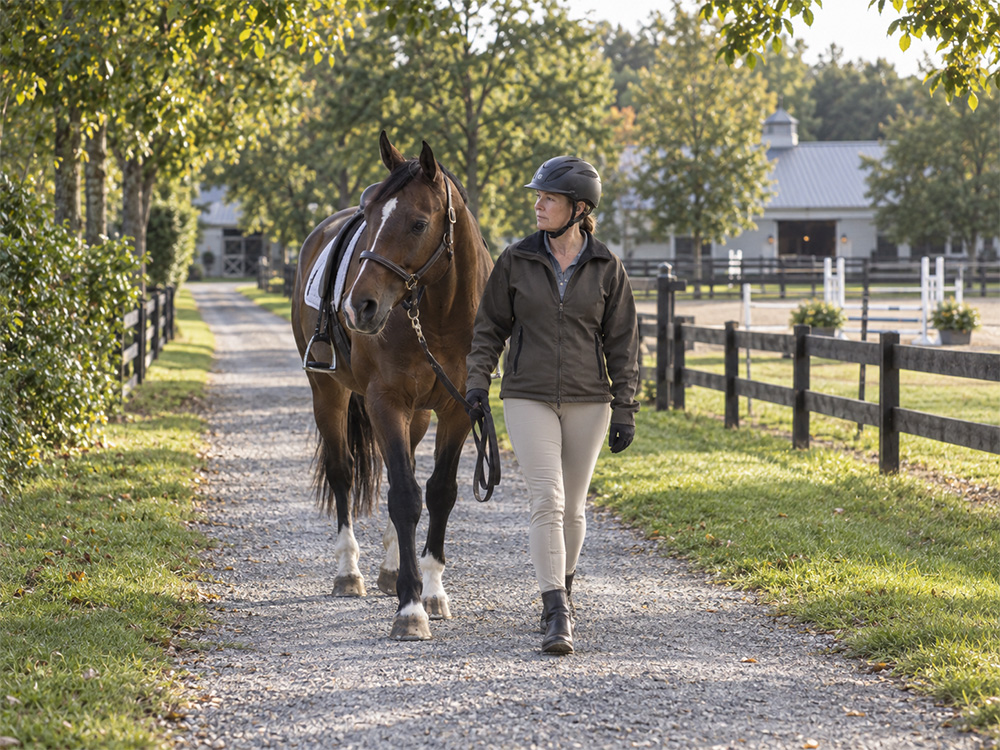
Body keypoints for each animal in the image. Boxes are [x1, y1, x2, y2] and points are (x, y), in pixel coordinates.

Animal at [291, 132, 493, 640]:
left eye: (419, 222)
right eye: (372, 218)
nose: (358, 306)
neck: (437, 316)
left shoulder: (457, 410)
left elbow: (439, 493)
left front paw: (433, 590)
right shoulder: (386, 402)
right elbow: (404, 496)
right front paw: (411, 606)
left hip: (417, 415)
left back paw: (387, 569)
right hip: (329, 393)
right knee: (343, 472)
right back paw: (349, 572)